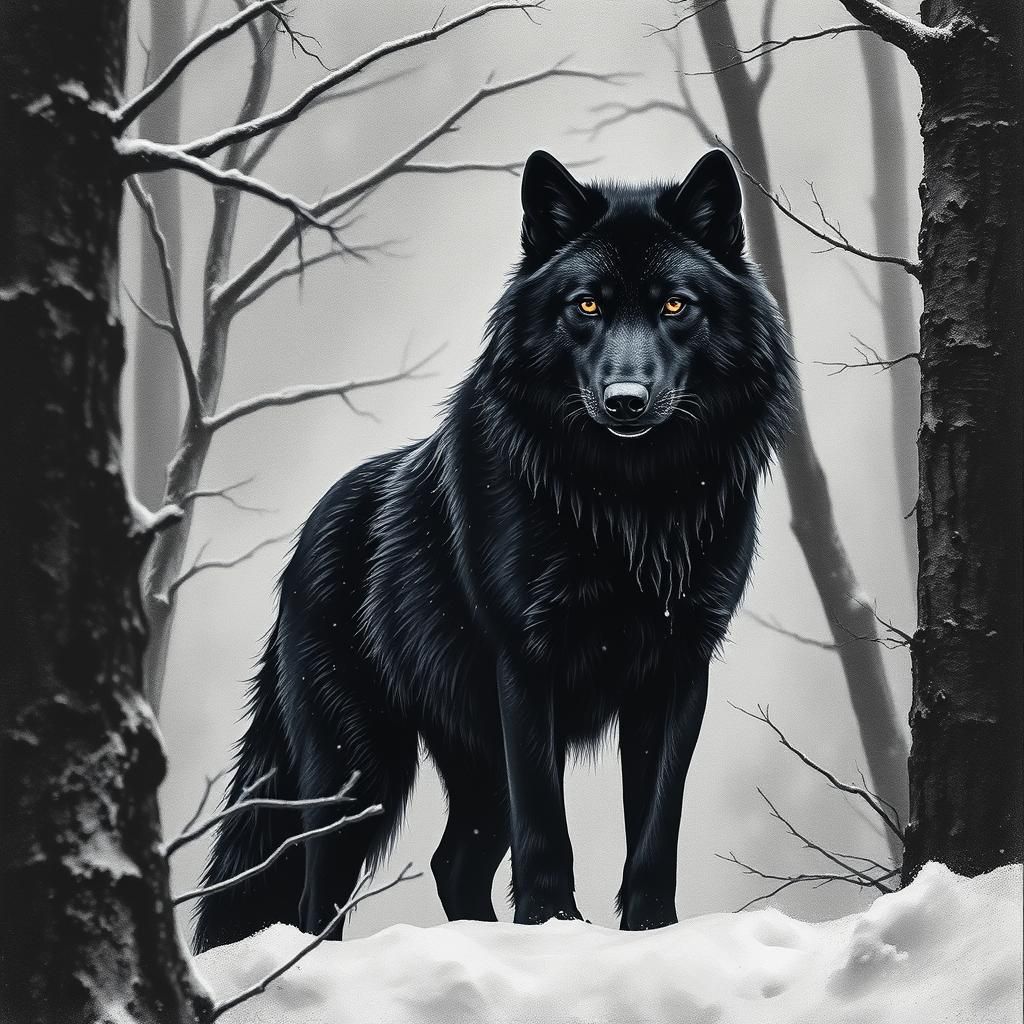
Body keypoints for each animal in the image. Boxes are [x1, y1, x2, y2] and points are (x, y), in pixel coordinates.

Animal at [193, 149, 795, 951]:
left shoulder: (678, 668)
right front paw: (552, 924)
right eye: (587, 306)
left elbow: (655, 826)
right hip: (359, 772)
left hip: (468, 763)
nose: (625, 401)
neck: (631, 502)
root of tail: (305, 540)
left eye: (675, 306)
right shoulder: (527, 661)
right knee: (316, 892)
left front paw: (651, 932)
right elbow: (546, 820)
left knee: (452, 863)